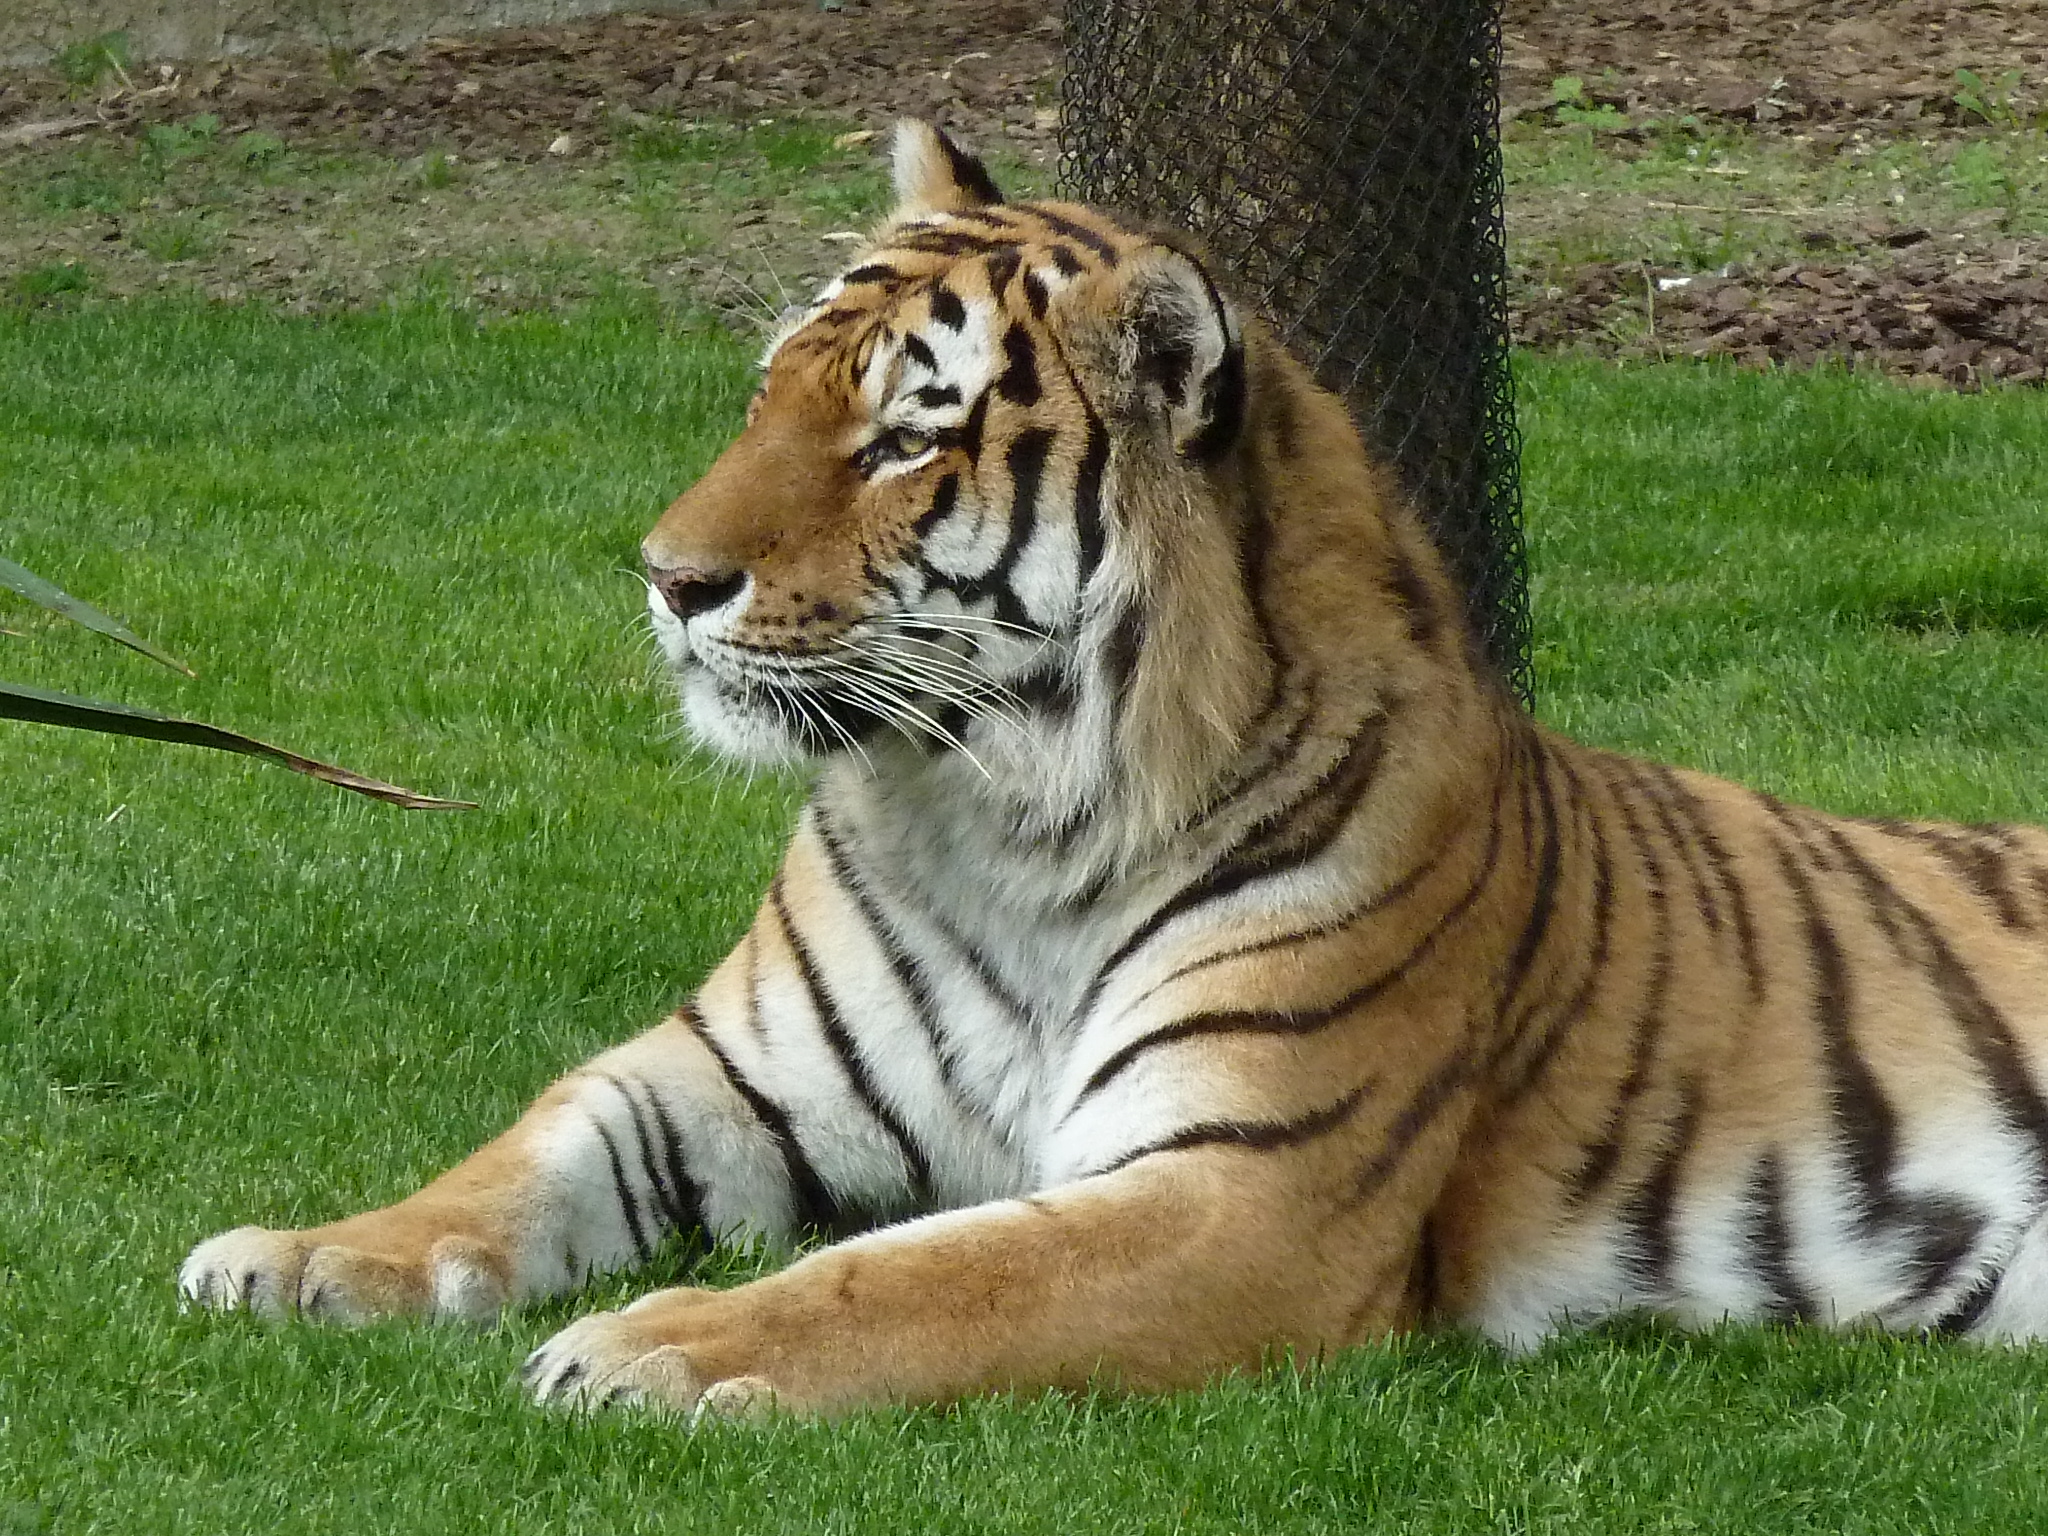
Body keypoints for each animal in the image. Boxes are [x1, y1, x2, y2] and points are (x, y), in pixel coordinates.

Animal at [180, 121, 2048, 1418]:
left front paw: (655, 1348)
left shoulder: (1243, 1189)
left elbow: (912, 1281)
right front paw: (300, 1258)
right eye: (768, 392)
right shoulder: (724, 1073)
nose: (665, 575)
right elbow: (527, 1153)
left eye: (904, 437)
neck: (989, 814)